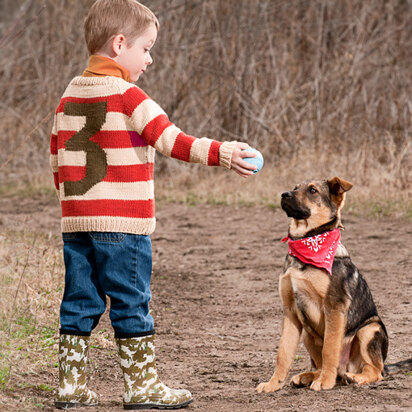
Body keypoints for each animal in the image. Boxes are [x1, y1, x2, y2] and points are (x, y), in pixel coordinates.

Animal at [256, 176, 388, 392]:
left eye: (312, 190)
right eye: (295, 187)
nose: (284, 194)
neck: (308, 240)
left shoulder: (334, 307)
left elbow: (330, 348)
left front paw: (325, 382)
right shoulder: (290, 311)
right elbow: (283, 353)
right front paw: (273, 384)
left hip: (369, 329)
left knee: (375, 370)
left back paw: (352, 377)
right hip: (307, 333)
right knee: (322, 366)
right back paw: (307, 377)